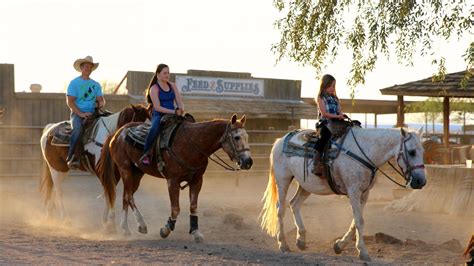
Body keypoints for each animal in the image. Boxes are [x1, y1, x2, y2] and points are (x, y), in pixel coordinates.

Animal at [96, 113, 252, 242]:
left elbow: (193, 206)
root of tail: (117, 133)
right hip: (125, 170)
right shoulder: (173, 181)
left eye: (247, 137)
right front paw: (166, 229)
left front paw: (196, 232)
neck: (193, 143)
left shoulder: (197, 181)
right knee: (128, 196)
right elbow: (176, 208)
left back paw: (125, 228)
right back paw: (141, 225)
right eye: (237, 137)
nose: (248, 161)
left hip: (137, 172)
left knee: (125, 197)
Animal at [262, 127, 428, 262]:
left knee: (294, 204)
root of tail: (280, 140)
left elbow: (356, 221)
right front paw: (363, 252)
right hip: (283, 180)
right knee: (280, 209)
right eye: (412, 151)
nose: (421, 181)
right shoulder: (353, 191)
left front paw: (339, 245)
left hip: (306, 185)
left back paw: (301, 240)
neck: (364, 152)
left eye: (423, 152)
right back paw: (283, 244)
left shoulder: (364, 194)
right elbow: (359, 221)